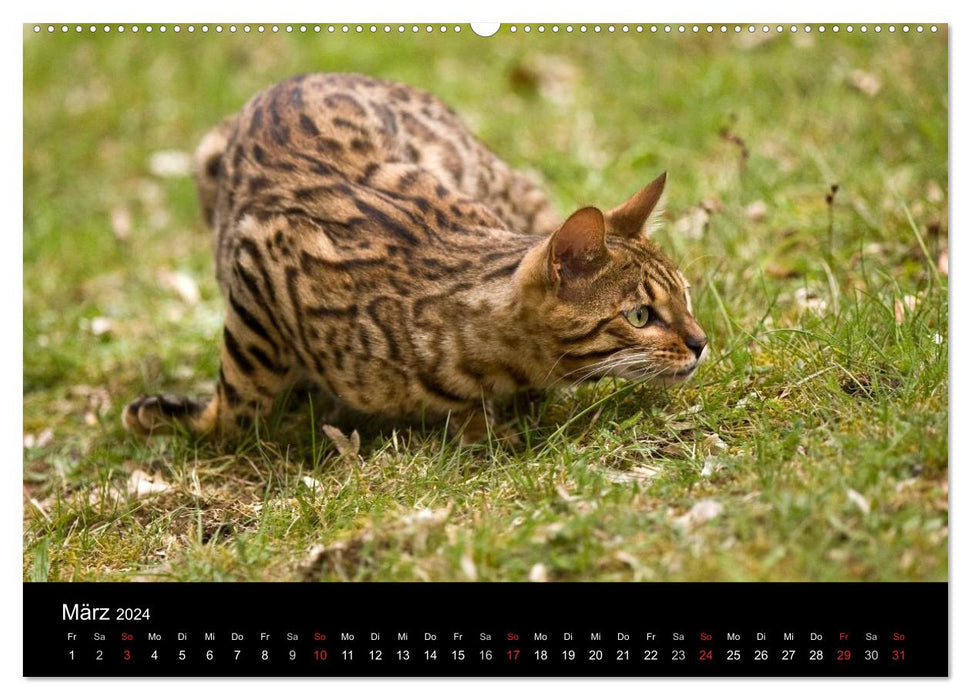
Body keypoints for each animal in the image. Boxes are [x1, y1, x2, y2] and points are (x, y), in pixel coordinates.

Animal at [125, 71, 712, 442]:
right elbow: (239, 400)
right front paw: (186, 421)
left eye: (686, 298)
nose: (701, 342)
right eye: (641, 315)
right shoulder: (259, 259)